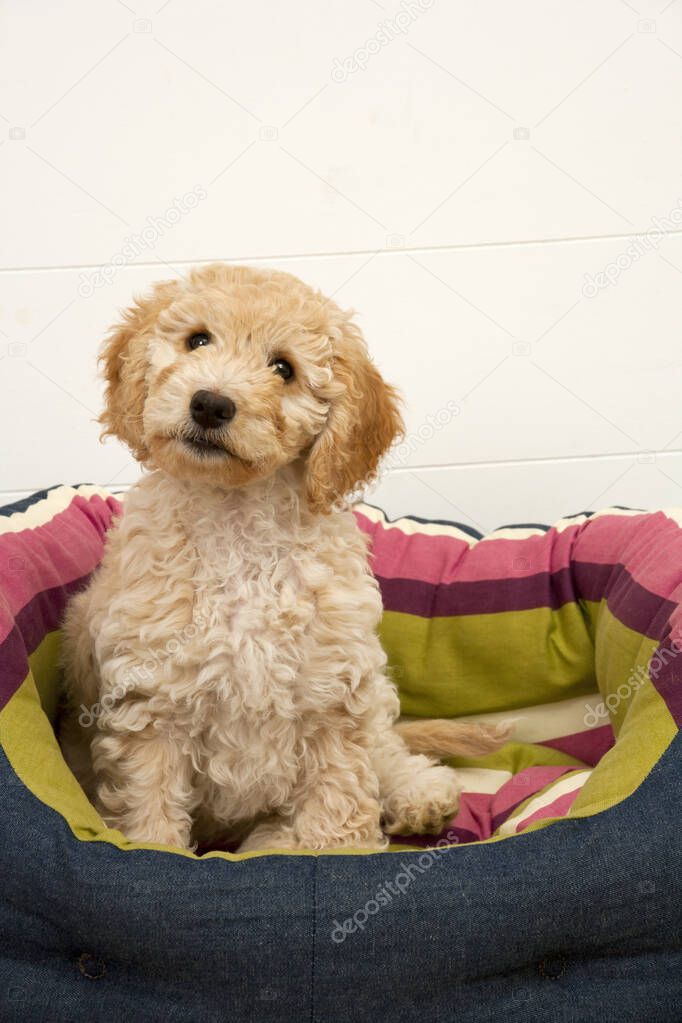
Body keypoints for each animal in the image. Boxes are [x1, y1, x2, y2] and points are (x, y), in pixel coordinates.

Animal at [60, 259, 507, 851]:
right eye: (197, 339)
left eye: (284, 369)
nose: (210, 403)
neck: (238, 525)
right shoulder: (151, 704)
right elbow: (149, 805)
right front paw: (154, 846)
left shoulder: (333, 695)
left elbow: (340, 796)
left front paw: (337, 850)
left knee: (388, 749)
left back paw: (419, 795)